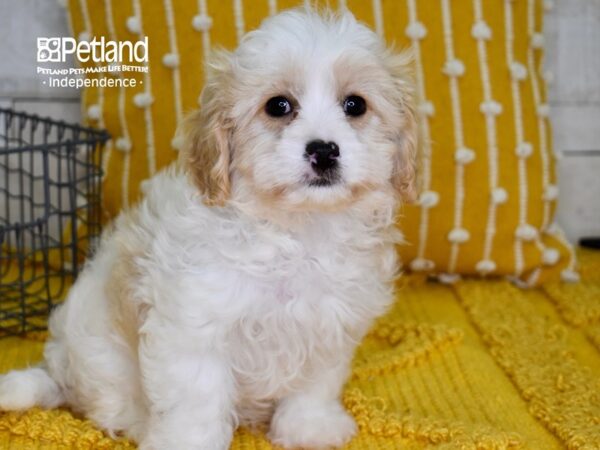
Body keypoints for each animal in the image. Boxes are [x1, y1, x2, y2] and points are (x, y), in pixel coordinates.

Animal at [0, 7, 412, 450]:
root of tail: (60, 370)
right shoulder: (194, 325)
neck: (296, 231)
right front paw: (187, 441)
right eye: (278, 106)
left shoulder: (330, 322)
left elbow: (315, 383)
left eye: (355, 105)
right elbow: (196, 399)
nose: (323, 150)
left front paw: (309, 427)